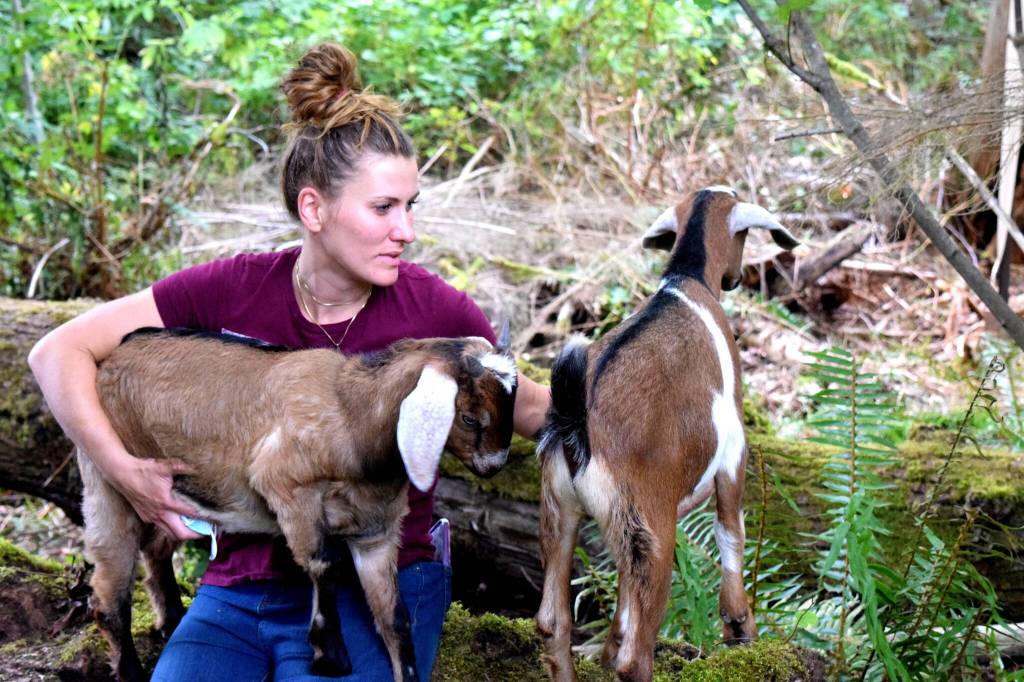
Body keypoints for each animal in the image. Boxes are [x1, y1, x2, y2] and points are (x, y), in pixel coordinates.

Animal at [78, 328, 518, 682]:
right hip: (108, 481)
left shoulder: (375, 530)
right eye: (471, 418)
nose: (494, 465)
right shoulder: (285, 487)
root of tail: (112, 357)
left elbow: (395, 616)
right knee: (106, 597)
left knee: (156, 547)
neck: (350, 414)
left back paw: (170, 620)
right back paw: (131, 667)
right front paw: (330, 654)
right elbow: (325, 562)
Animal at [535, 187, 799, 682]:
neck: (687, 277)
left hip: (565, 511)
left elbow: (621, 603)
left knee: (552, 622)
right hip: (652, 531)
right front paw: (740, 626)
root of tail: (578, 423)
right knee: (635, 657)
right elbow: (730, 532)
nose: (735, 279)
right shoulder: (734, 451)